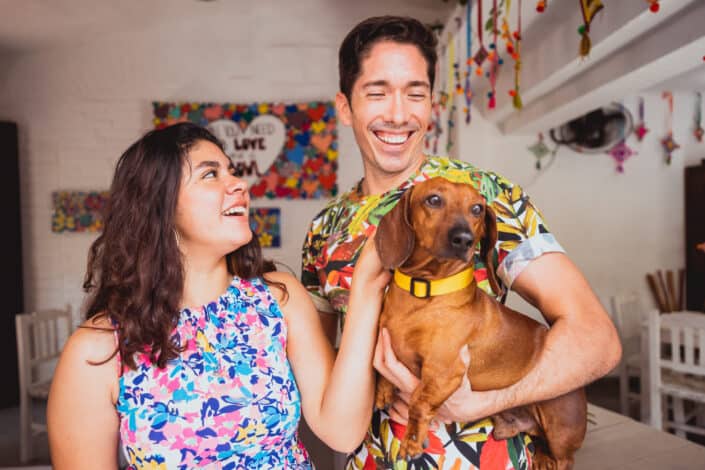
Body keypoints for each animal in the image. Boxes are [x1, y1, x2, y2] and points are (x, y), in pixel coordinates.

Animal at [374, 177, 588, 470]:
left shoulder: (444, 372)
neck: (423, 293)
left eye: (476, 208)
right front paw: (383, 391)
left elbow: (418, 402)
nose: (464, 239)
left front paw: (412, 442)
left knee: (563, 456)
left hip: (560, 431)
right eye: (433, 199)